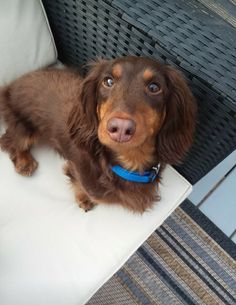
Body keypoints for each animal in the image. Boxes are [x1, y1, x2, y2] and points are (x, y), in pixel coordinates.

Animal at [0, 56, 195, 211]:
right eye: (108, 81)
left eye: (154, 87)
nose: (121, 128)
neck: (128, 162)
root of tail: (9, 88)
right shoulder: (76, 168)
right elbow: (81, 186)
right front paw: (84, 198)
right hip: (25, 130)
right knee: (9, 140)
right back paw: (24, 162)